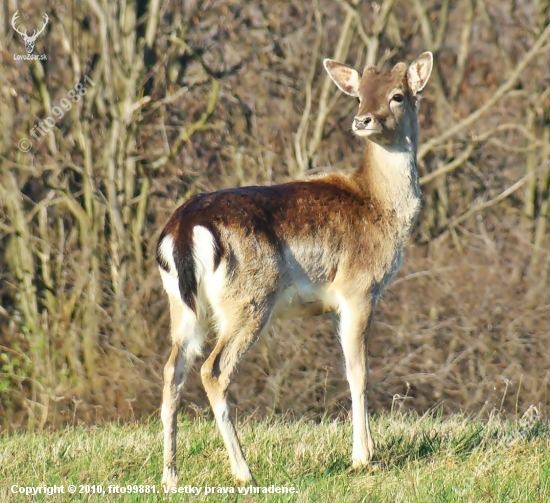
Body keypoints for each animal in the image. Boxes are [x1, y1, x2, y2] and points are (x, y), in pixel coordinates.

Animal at [156, 52, 436, 488]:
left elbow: (347, 368)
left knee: (172, 371)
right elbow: (360, 371)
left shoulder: (337, 304)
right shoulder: (359, 289)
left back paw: (170, 476)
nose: (363, 120)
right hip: (250, 299)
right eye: (359, 96)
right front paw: (363, 458)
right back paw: (244, 472)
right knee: (213, 370)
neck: (380, 207)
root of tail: (184, 228)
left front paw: (367, 449)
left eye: (396, 96)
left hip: (183, 307)